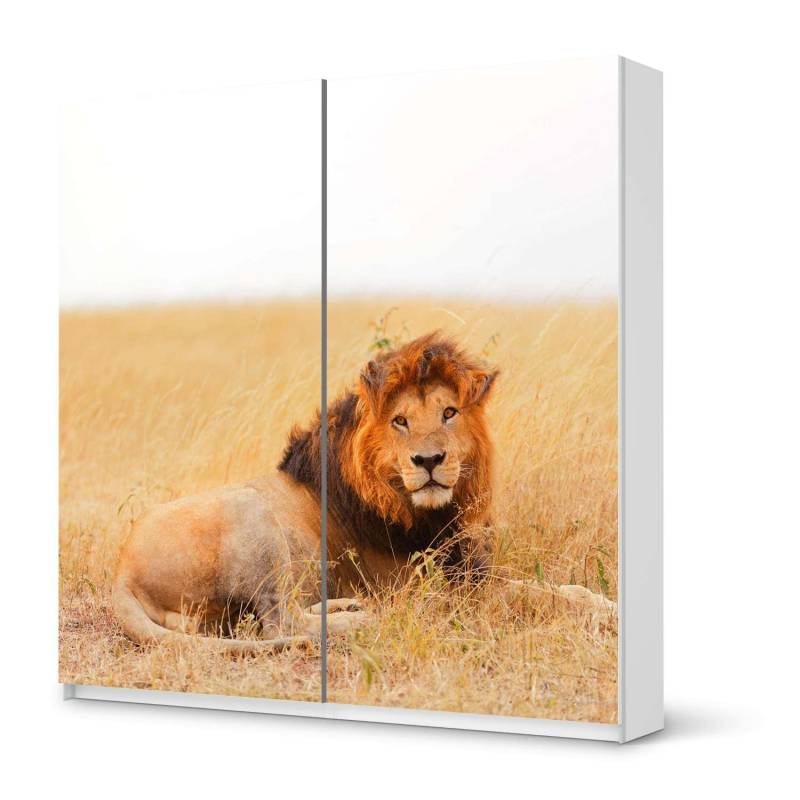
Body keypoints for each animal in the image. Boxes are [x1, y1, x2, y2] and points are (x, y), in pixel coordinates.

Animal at [112, 332, 612, 653]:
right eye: (400, 421)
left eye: (449, 413)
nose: (428, 461)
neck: (428, 509)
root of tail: (122, 568)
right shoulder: (440, 589)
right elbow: (540, 596)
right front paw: (605, 615)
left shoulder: (468, 571)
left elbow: (563, 587)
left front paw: (604, 602)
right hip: (251, 515)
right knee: (277, 621)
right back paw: (362, 618)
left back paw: (348, 605)